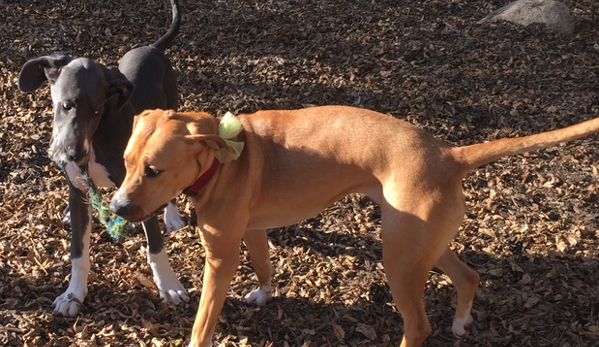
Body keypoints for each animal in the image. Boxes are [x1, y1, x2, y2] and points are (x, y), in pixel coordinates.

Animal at [110, 106, 599, 347]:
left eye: (153, 171)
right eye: (125, 162)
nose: (116, 206)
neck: (222, 154)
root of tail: (448, 153)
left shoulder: (220, 257)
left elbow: (203, 321)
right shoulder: (252, 232)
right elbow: (265, 266)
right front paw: (264, 294)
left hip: (399, 261)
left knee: (418, 327)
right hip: (421, 245)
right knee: (469, 276)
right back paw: (461, 323)